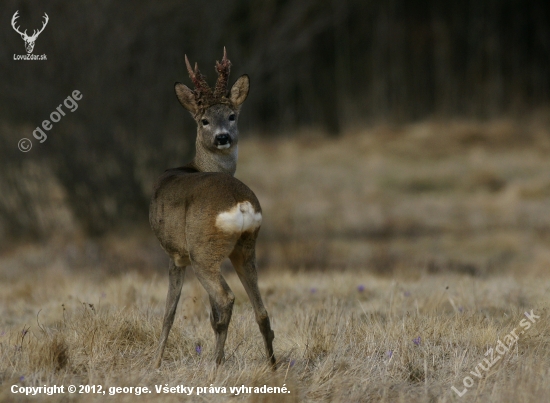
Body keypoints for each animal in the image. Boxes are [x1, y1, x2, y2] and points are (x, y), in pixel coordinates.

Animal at [150, 48, 276, 370]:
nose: (222, 137)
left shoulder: (176, 255)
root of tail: (240, 204)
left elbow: (169, 313)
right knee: (260, 310)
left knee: (226, 299)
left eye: (232, 116)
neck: (194, 165)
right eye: (204, 120)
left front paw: (156, 363)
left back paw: (216, 363)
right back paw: (272, 366)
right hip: (246, 248)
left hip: (202, 251)